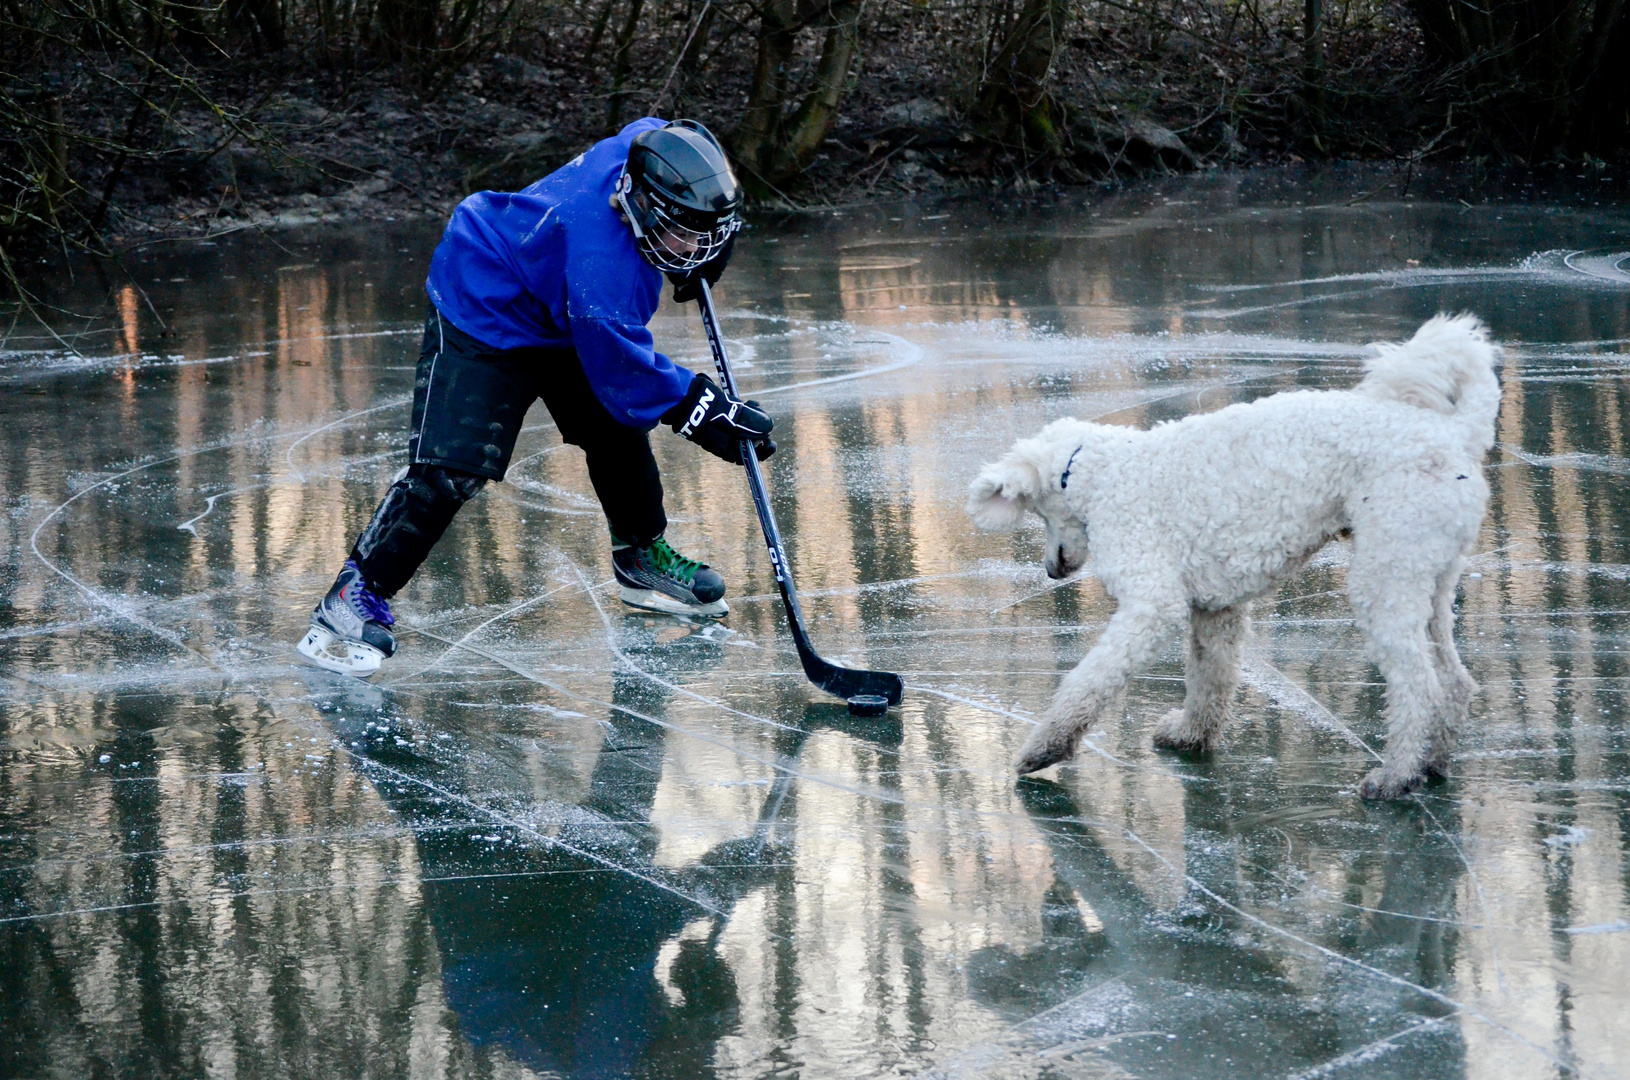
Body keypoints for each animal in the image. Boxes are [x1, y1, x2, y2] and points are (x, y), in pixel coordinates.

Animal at [964, 317, 1499, 798]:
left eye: (1037, 513)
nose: (1051, 570)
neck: (1102, 473)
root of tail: (1456, 435)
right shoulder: (1215, 609)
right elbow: (1209, 679)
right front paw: (1191, 734)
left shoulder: (1152, 605)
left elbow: (1089, 681)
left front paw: (1043, 748)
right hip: (1430, 574)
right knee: (1454, 681)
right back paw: (1432, 762)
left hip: (1387, 573)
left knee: (1419, 685)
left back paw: (1396, 775)